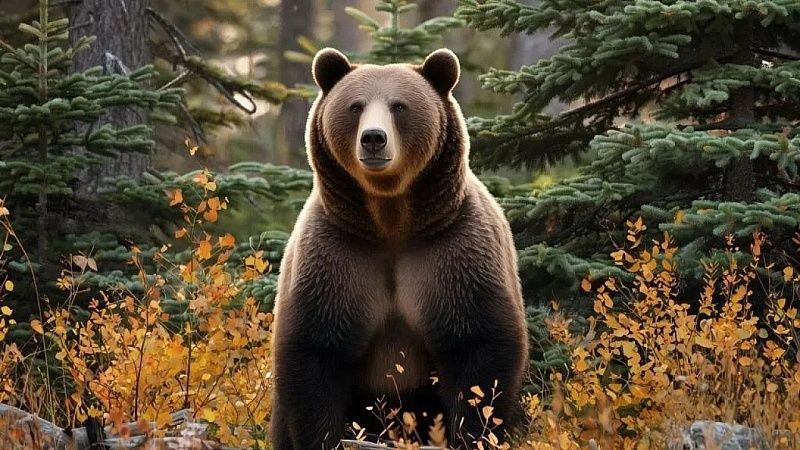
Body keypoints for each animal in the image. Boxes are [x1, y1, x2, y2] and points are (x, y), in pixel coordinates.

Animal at [269, 47, 529, 450]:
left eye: (399, 106)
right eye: (355, 106)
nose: (373, 138)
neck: (390, 219)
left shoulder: (454, 251)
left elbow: (477, 350)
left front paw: (473, 433)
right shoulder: (336, 256)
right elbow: (316, 353)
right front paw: (325, 436)